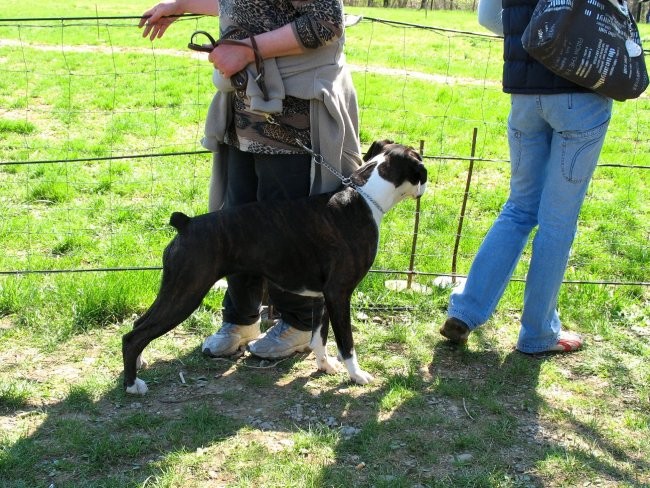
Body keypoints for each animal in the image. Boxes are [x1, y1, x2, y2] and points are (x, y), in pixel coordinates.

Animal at [121, 140, 426, 392]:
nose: (426, 184)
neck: (365, 196)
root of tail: (186, 224)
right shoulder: (340, 294)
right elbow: (346, 342)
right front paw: (357, 375)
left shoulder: (323, 297)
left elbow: (320, 336)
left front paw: (325, 365)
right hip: (186, 293)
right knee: (134, 336)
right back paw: (133, 385)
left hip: (175, 289)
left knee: (138, 325)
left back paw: (138, 365)